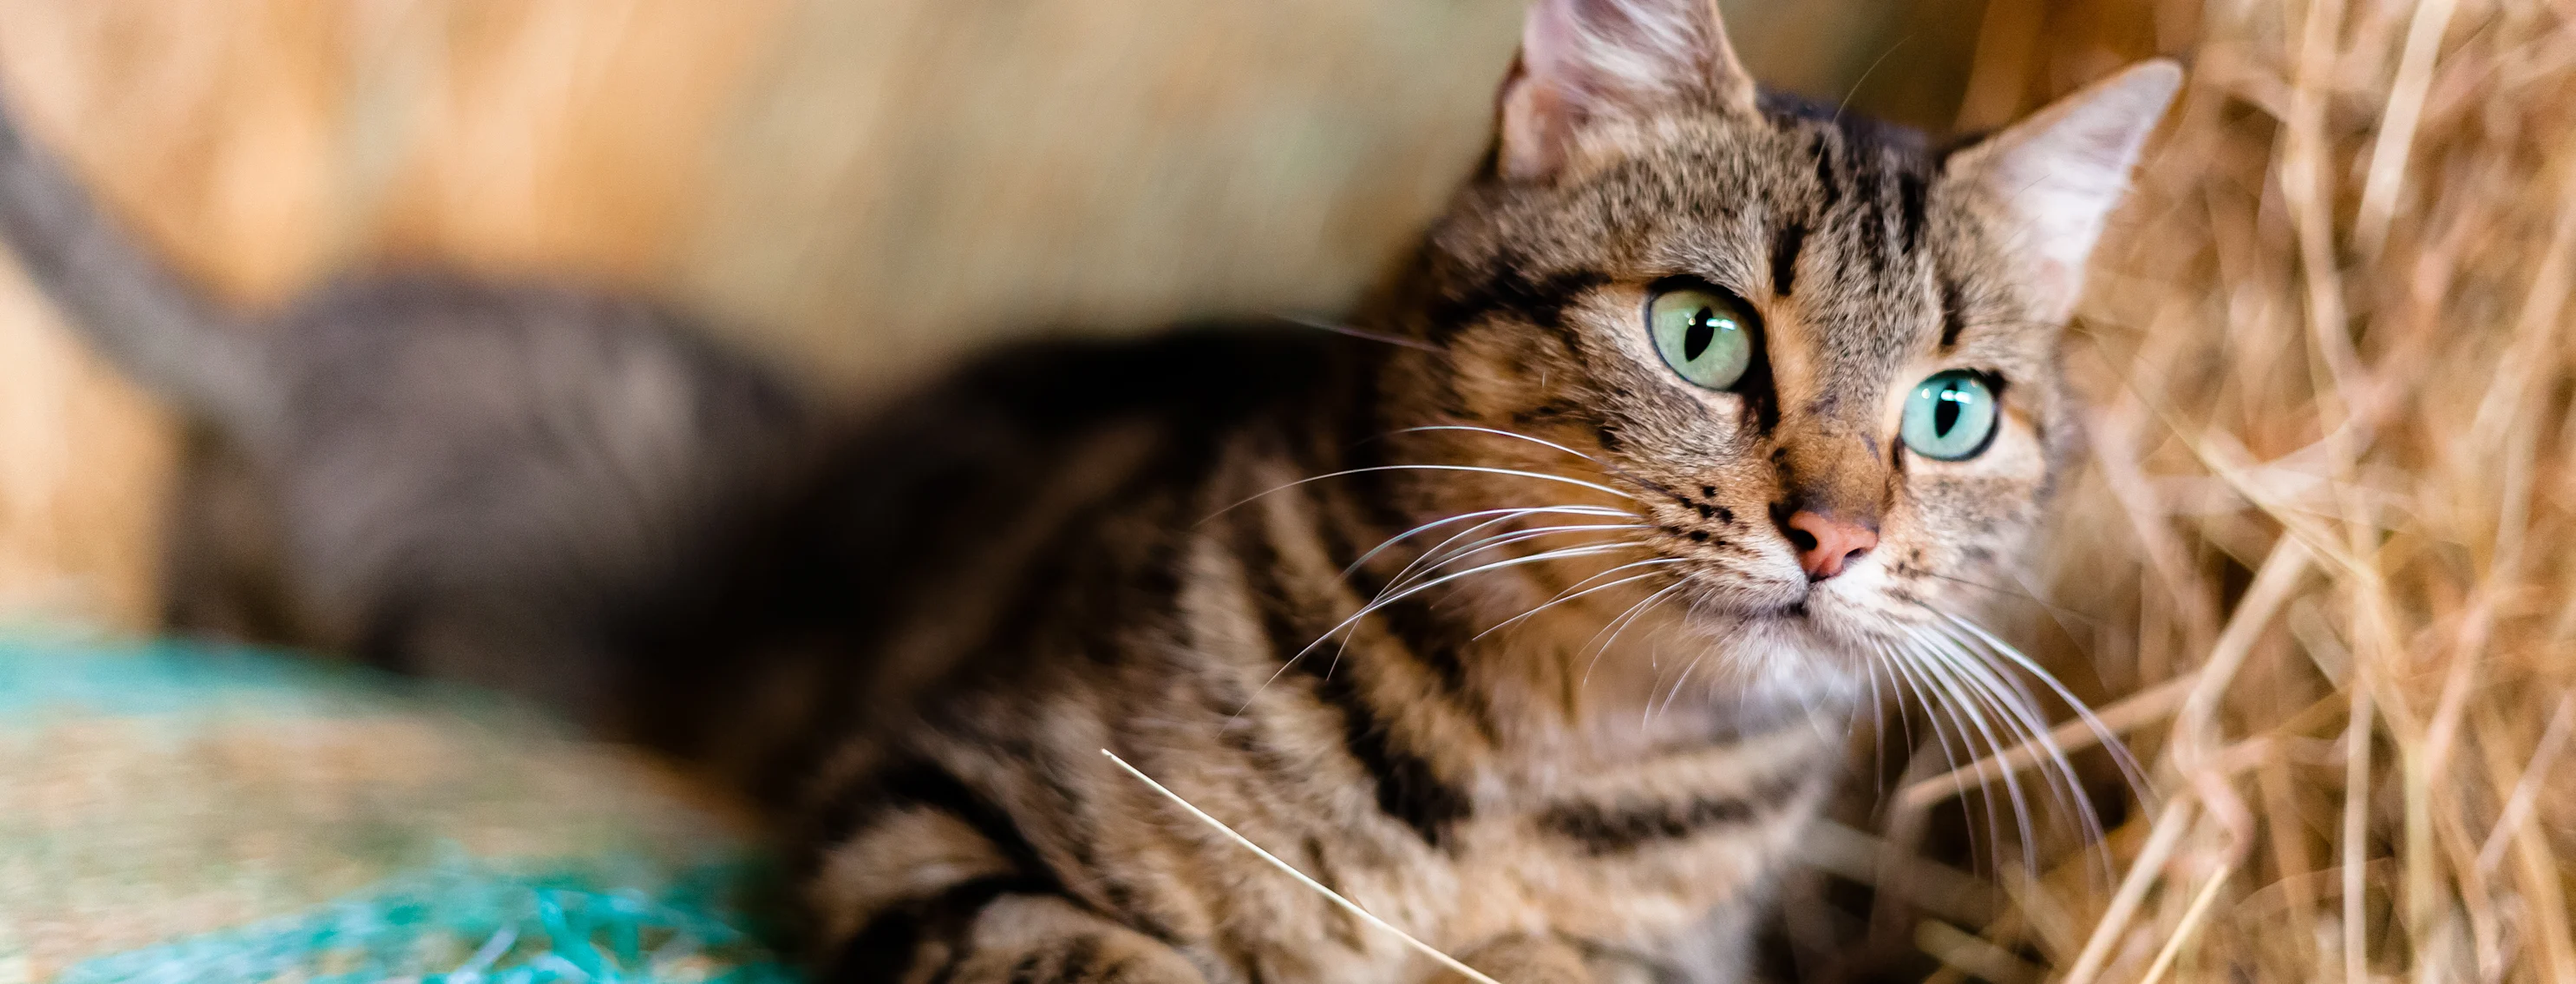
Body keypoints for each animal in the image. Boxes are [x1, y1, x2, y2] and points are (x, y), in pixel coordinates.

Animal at [0, 0, 2174, 979]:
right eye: (1706, 336)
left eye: (1953, 413)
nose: (1837, 533)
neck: (1559, 747)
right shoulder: (924, 803)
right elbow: (1116, 959)